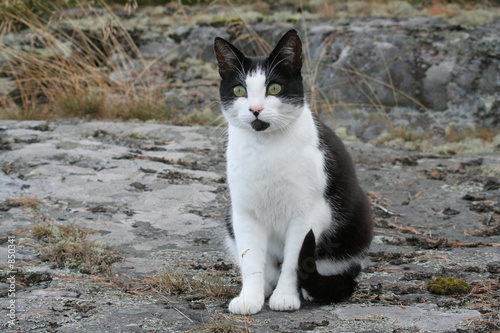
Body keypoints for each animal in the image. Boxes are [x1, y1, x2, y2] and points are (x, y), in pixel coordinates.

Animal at [213, 29, 374, 314]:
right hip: (229, 219)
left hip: (357, 225)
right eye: (240, 90)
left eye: (274, 88)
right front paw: (250, 298)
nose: (255, 109)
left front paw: (286, 296)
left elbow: (294, 260)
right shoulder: (244, 212)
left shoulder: (308, 214)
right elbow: (251, 259)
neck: (265, 150)